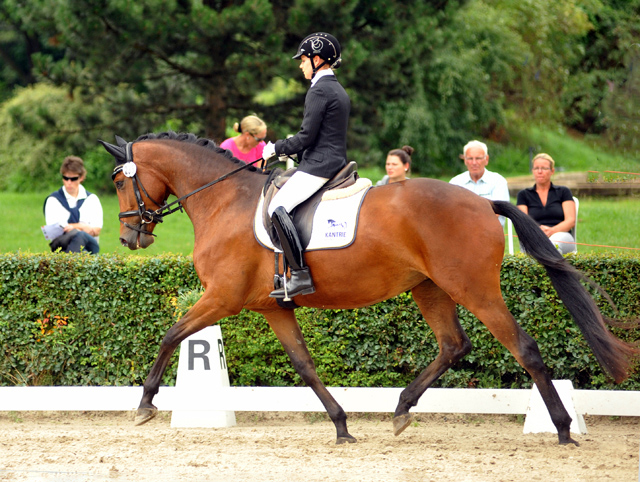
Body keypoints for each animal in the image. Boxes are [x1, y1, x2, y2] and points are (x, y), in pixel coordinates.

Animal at [100, 131, 636, 444]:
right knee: (453, 344)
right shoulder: (272, 308)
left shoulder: (222, 297)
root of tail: (483, 203)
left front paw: (145, 404)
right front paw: (341, 425)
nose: (129, 237)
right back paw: (400, 410)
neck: (223, 200)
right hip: (429, 287)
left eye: (120, 182)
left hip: (473, 288)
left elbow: (171, 334)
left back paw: (563, 429)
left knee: (523, 347)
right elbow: (304, 364)